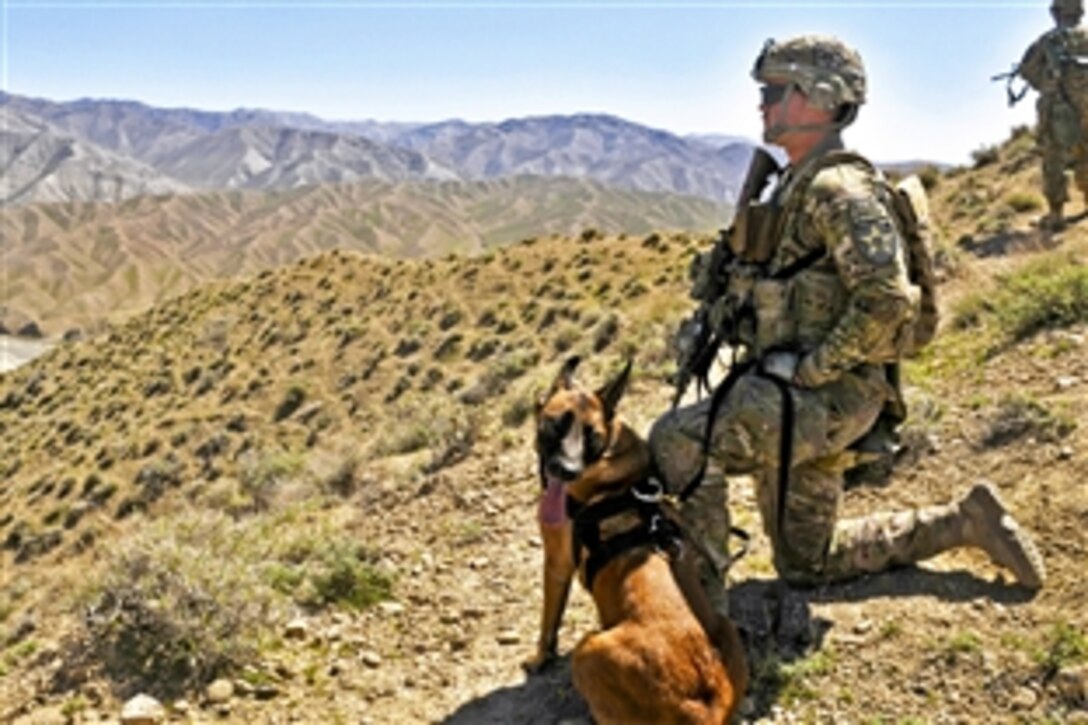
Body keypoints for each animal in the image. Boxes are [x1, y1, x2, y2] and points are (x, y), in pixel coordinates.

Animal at [520, 354, 744, 722]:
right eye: (555, 425)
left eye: (592, 435)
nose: (567, 471)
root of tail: (701, 705)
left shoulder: (556, 564)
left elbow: (548, 622)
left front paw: (540, 658)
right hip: (726, 627)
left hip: (587, 649)